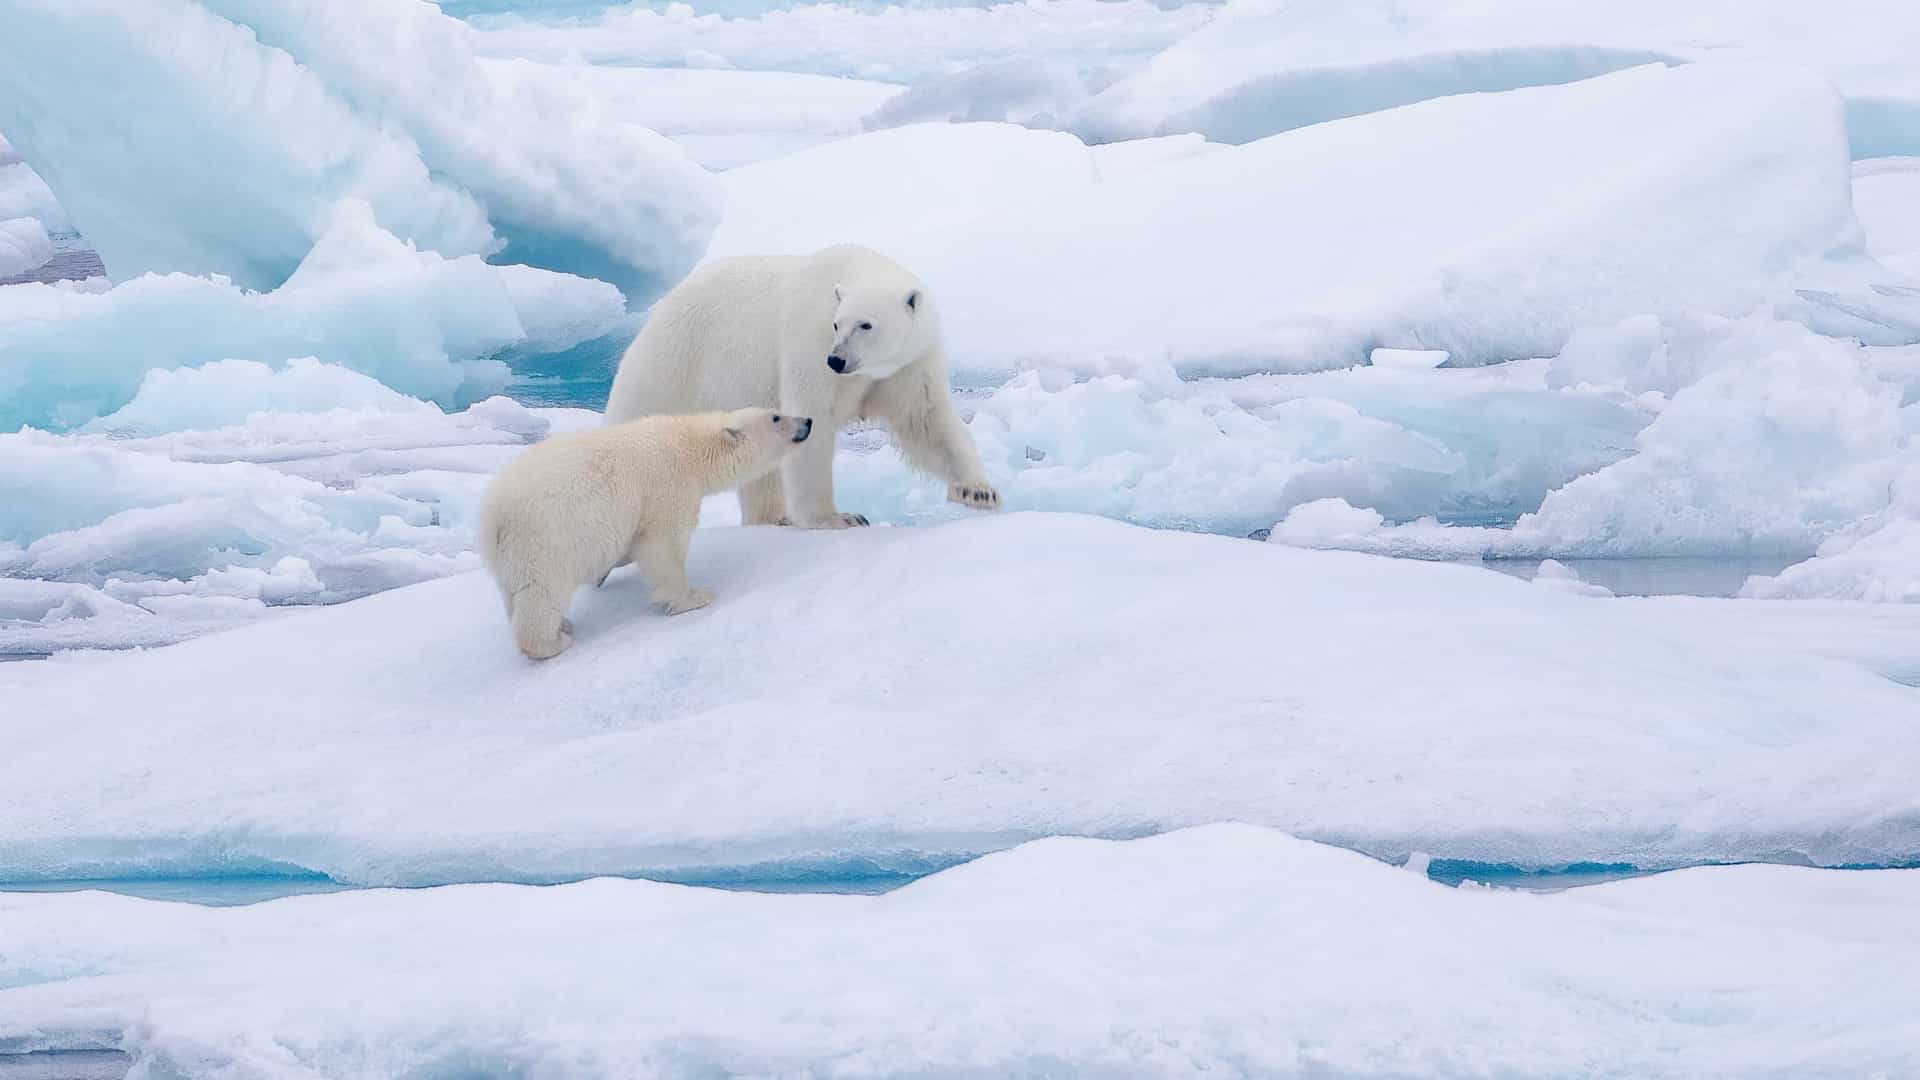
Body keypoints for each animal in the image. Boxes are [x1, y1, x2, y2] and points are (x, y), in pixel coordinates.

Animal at [477, 407, 813, 659]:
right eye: (775, 416)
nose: (807, 421)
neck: (690, 446)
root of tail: (492, 517)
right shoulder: (669, 486)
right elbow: (662, 546)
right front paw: (694, 597)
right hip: (544, 539)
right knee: (540, 592)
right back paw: (553, 642)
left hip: (509, 557)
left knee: (512, 596)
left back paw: (563, 624)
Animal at [603, 244, 999, 529]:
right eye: (839, 324)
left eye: (866, 325)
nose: (837, 360)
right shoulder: (810, 343)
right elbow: (813, 418)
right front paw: (839, 518)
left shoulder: (907, 364)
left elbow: (926, 420)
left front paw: (979, 492)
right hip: (675, 362)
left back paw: (774, 518)